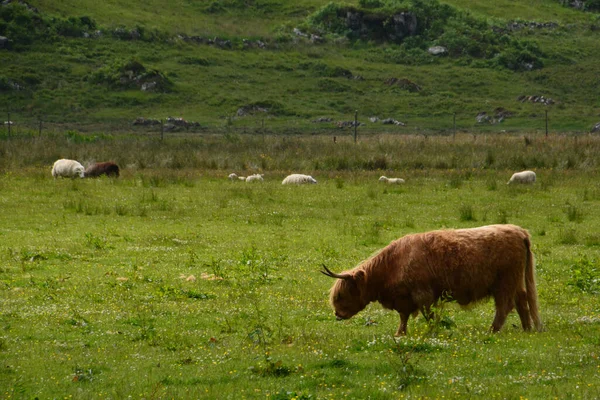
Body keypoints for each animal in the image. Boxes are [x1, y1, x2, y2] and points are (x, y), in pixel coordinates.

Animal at [324, 225, 544, 334]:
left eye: (341, 294)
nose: (337, 314)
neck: (393, 264)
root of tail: (519, 231)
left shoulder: (422, 294)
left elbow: (427, 314)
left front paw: (431, 330)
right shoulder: (405, 298)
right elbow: (403, 317)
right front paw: (400, 333)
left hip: (505, 282)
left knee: (504, 306)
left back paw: (492, 330)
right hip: (515, 281)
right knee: (522, 300)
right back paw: (526, 329)